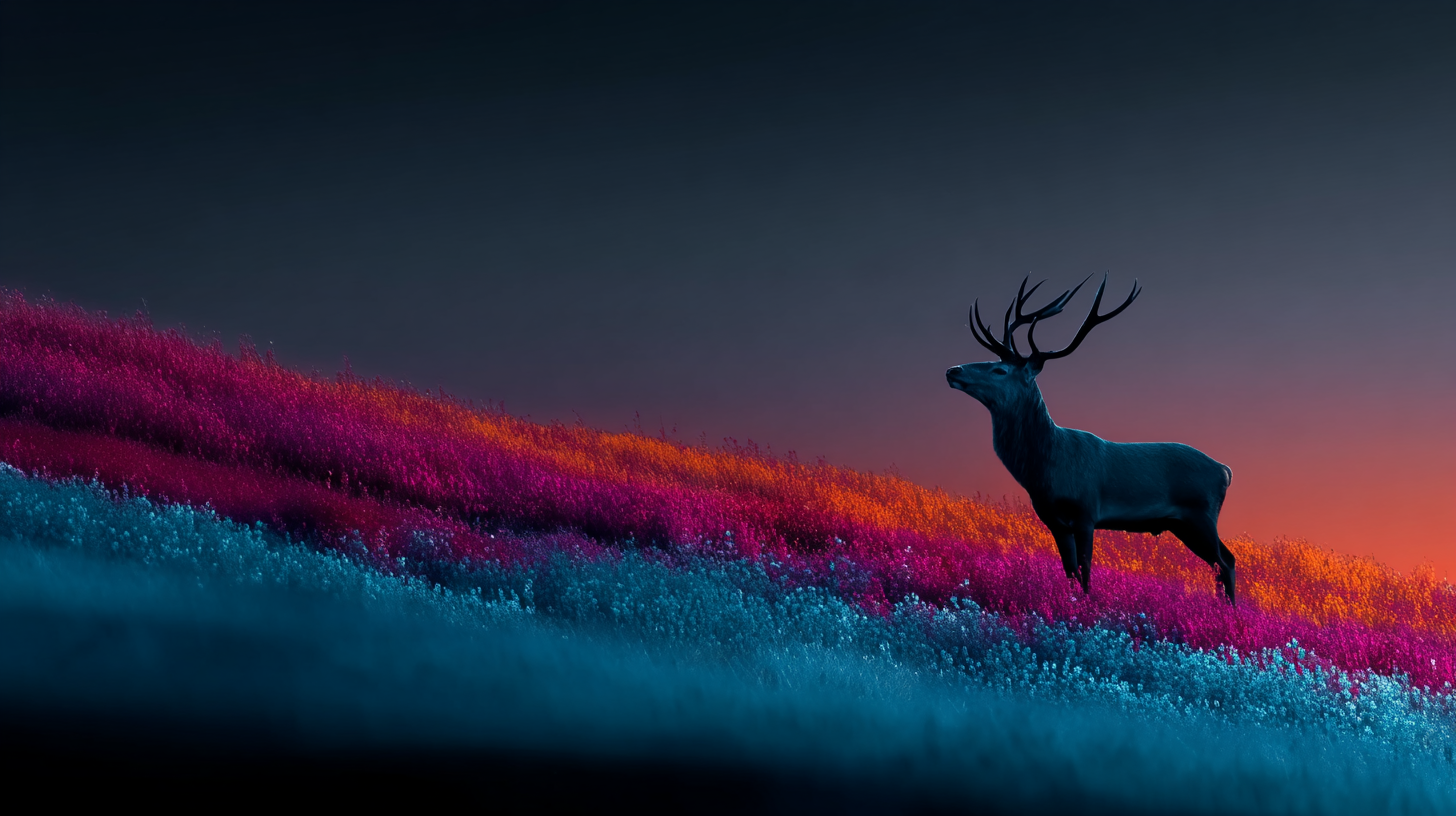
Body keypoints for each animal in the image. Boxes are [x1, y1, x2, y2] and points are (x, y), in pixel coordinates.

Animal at [946, 275, 1237, 604]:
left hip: (1201, 514)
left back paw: (1228, 611)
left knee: (1226, 561)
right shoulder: (1054, 521)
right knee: (1220, 562)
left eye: (1000, 369)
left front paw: (1087, 607)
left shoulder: (1086, 511)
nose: (953, 369)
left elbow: (1085, 572)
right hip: (1183, 524)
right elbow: (1070, 572)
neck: (1046, 469)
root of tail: (1225, 470)